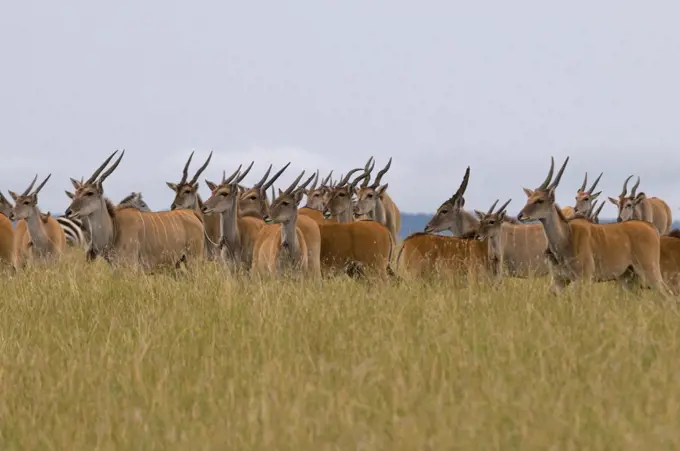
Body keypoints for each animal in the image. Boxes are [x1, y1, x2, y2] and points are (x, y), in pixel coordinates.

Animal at [65, 151, 206, 268]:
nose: (68, 212)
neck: (114, 228)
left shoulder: (131, 267)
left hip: (193, 260)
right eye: (76, 193)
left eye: (89, 193)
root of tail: (193, 214)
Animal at [516, 157, 668, 294]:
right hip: (628, 277)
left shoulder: (584, 279)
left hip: (650, 272)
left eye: (539, 200)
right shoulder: (559, 280)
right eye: (528, 199)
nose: (520, 215)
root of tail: (650, 227)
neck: (567, 236)